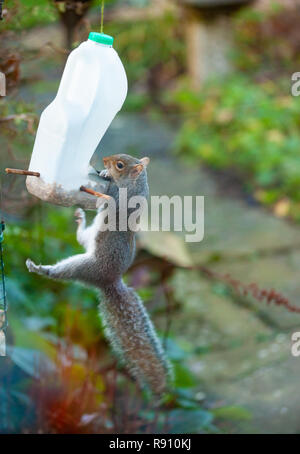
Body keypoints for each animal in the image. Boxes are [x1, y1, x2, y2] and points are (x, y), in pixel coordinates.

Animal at [26, 154, 171, 396]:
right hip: (89, 240)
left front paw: (104, 180)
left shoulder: (118, 197)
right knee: (81, 236)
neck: (135, 184)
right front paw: (103, 174)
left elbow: (108, 197)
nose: (104, 160)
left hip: (84, 266)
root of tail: (109, 281)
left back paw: (39, 268)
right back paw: (79, 219)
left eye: (120, 165)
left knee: (62, 271)